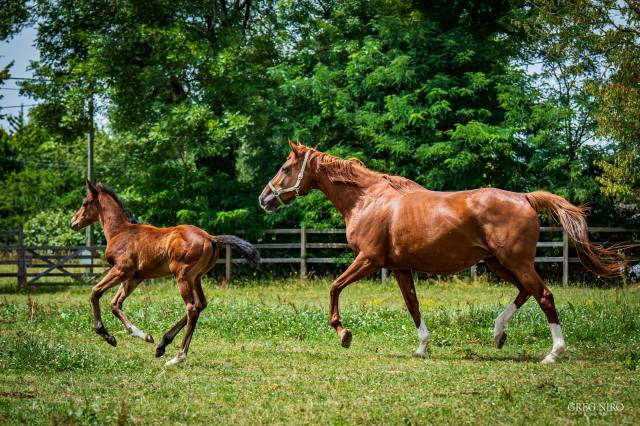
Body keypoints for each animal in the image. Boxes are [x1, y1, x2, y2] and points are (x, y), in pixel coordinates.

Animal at [71, 180, 260, 365]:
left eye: (85, 203)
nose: (73, 223)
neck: (121, 231)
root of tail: (210, 238)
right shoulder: (135, 277)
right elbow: (115, 304)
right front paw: (144, 336)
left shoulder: (121, 270)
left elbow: (95, 292)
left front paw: (106, 335)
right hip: (196, 278)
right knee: (201, 304)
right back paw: (162, 345)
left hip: (182, 276)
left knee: (192, 308)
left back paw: (178, 356)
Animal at [259, 141, 627, 363]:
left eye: (285, 168)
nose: (264, 199)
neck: (367, 199)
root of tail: (524, 198)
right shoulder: (399, 267)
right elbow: (413, 305)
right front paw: (422, 347)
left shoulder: (369, 260)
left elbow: (334, 287)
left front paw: (343, 333)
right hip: (497, 262)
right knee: (526, 292)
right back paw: (499, 334)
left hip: (514, 261)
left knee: (544, 295)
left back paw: (553, 353)